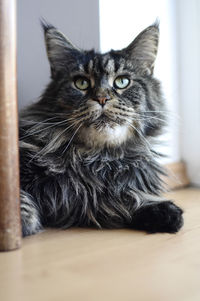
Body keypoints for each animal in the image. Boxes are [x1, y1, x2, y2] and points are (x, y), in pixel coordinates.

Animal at [18, 20, 183, 237]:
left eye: (122, 81)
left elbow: (125, 198)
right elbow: (16, 194)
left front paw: (164, 213)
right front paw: (22, 221)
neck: (95, 158)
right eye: (81, 83)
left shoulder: (99, 196)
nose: (102, 98)